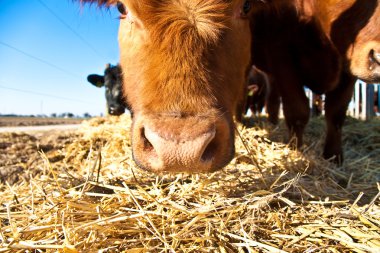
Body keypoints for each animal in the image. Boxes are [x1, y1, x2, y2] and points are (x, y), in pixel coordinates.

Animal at [251, 0, 378, 163]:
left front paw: (334, 157)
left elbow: (336, 114)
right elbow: (297, 111)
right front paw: (296, 151)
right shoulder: (282, 55)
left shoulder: (349, 69)